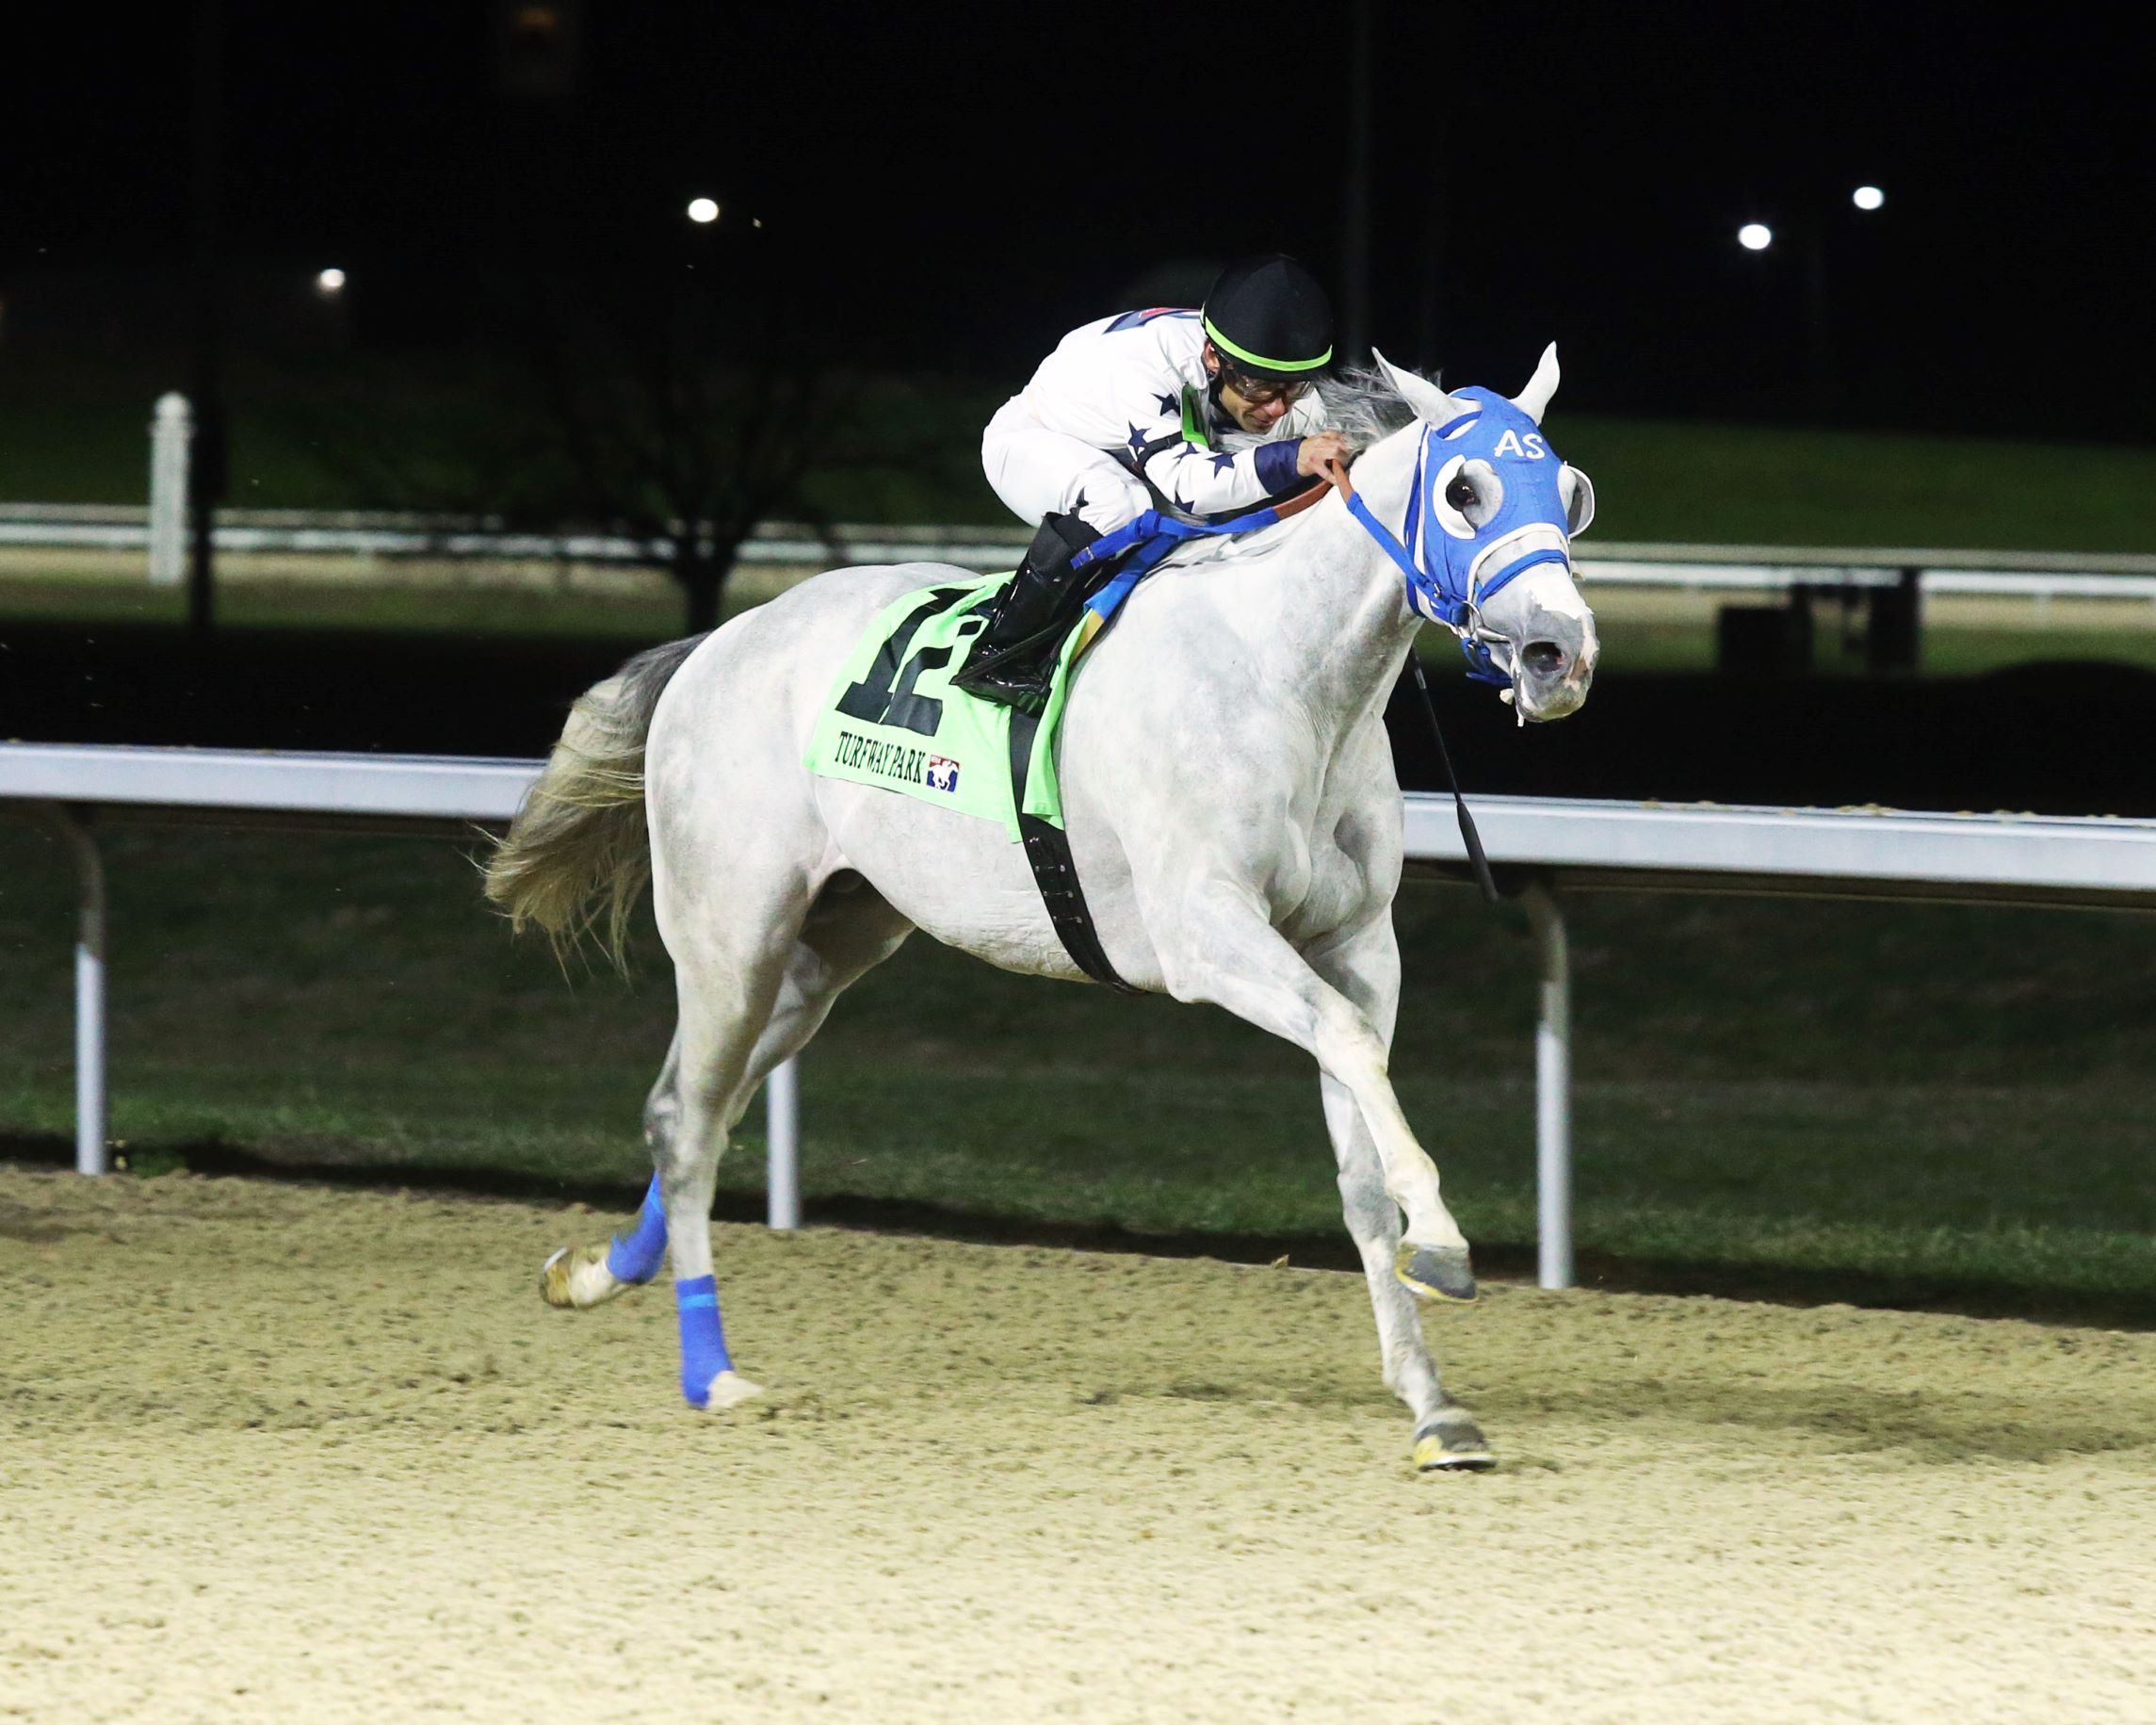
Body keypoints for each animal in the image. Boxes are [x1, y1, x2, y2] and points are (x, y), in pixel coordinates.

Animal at [487, 348, 1600, 1471]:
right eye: (1464, 490)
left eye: (1572, 493)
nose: (1560, 654)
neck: (1284, 676)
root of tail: (720, 641)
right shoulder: (1205, 933)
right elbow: (1350, 1046)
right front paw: (1445, 1246)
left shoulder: (1354, 943)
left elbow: (1361, 1148)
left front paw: (1433, 1403)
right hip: (730, 932)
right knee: (688, 1118)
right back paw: (710, 1370)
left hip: (827, 946)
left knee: (700, 1110)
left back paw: (595, 1274)